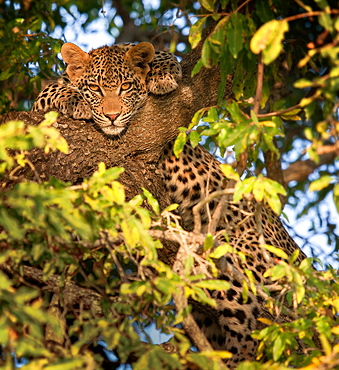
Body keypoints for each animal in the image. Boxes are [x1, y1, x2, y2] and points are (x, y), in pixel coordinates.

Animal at [32, 42, 308, 368]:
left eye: (125, 87)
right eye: (96, 89)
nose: (112, 116)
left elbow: (159, 55)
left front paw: (161, 75)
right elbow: (48, 90)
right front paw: (74, 100)